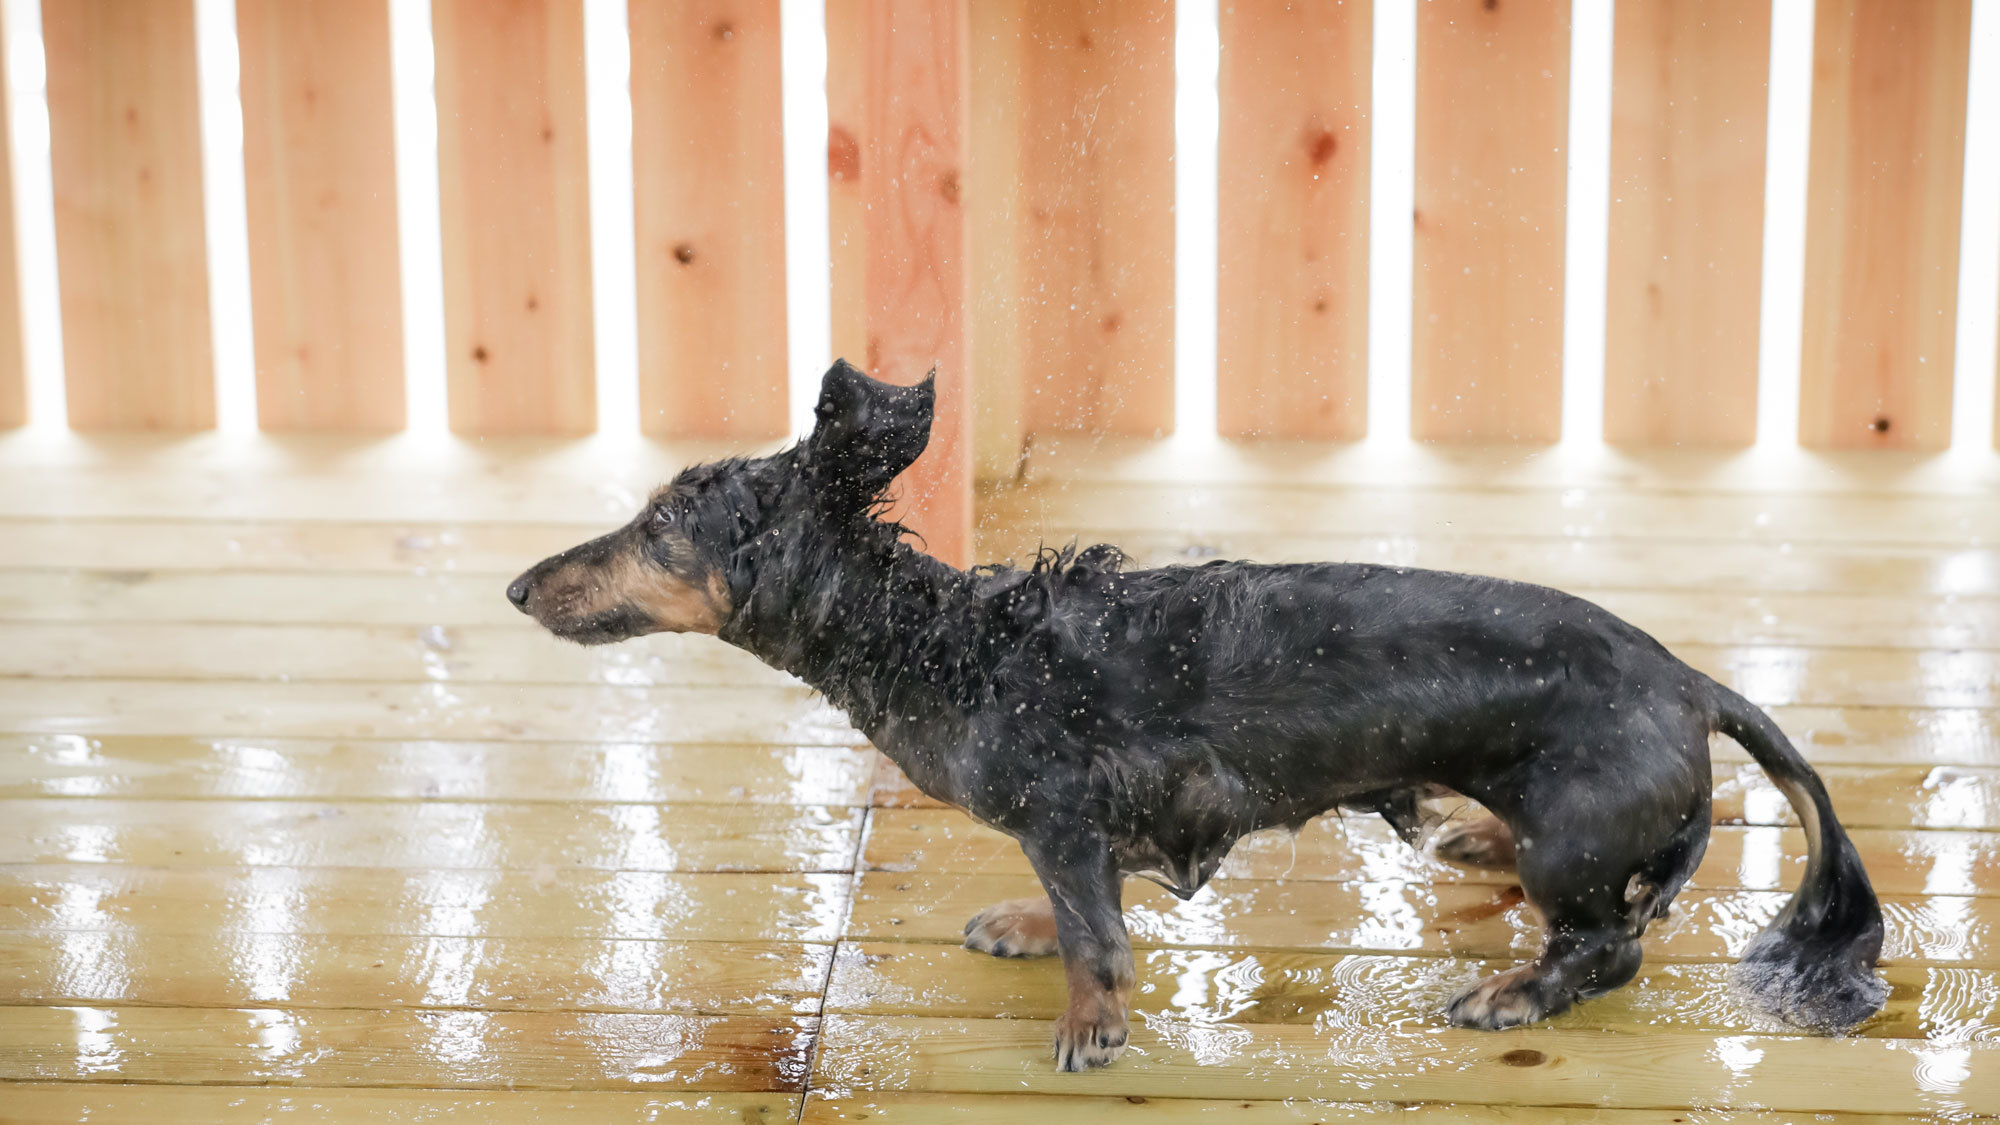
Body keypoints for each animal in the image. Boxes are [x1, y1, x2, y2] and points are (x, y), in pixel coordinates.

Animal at [508, 358, 1880, 1064]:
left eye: (660, 527)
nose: (519, 586)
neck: (951, 646)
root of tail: (1691, 682)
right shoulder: (1092, 827)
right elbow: (1086, 901)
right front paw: (1022, 925)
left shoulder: (1061, 812)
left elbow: (1095, 938)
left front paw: (1089, 1025)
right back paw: (1464, 833)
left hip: (1575, 847)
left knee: (1608, 946)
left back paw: (1509, 992)